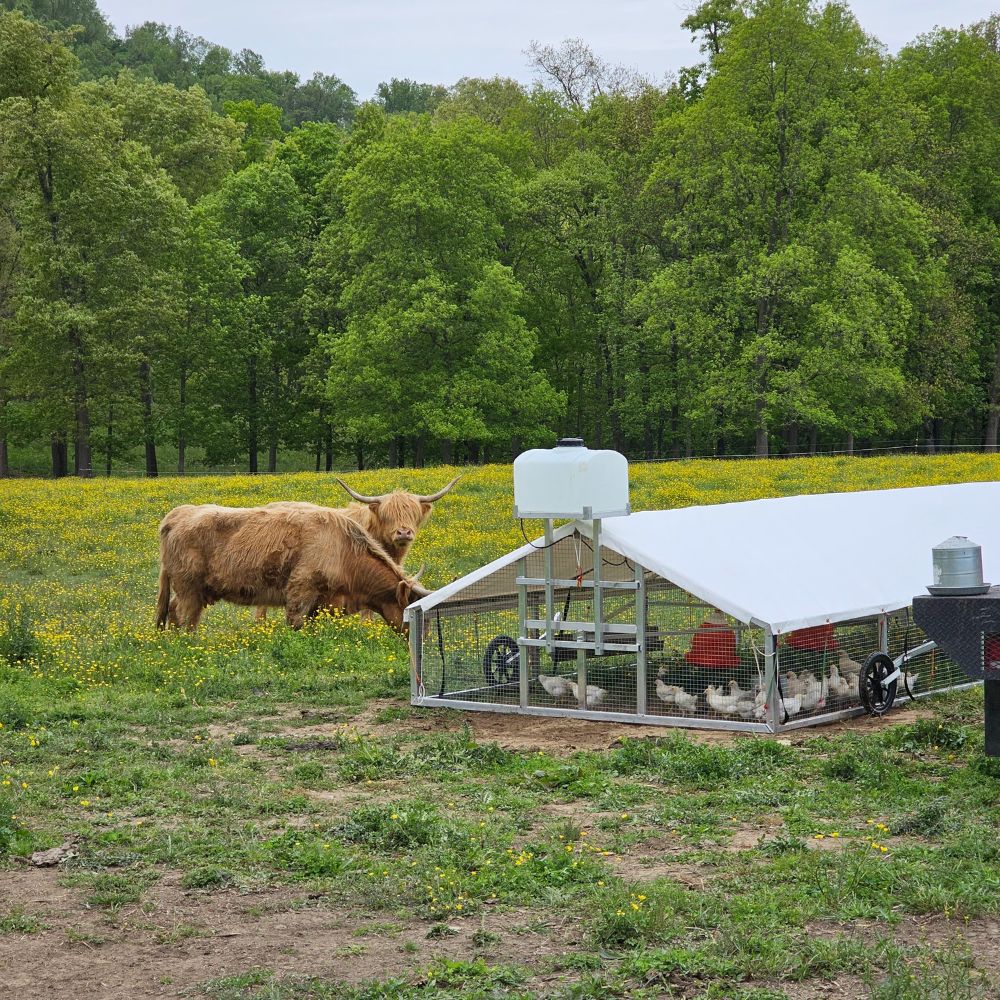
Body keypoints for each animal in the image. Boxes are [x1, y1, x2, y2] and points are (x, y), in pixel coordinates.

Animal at [154, 500, 428, 632]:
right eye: (413, 612)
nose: (424, 638)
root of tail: (179, 513)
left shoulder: (320, 603)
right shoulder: (300, 590)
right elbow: (295, 623)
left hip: (193, 591)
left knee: (174, 612)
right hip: (189, 589)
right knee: (183, 616)